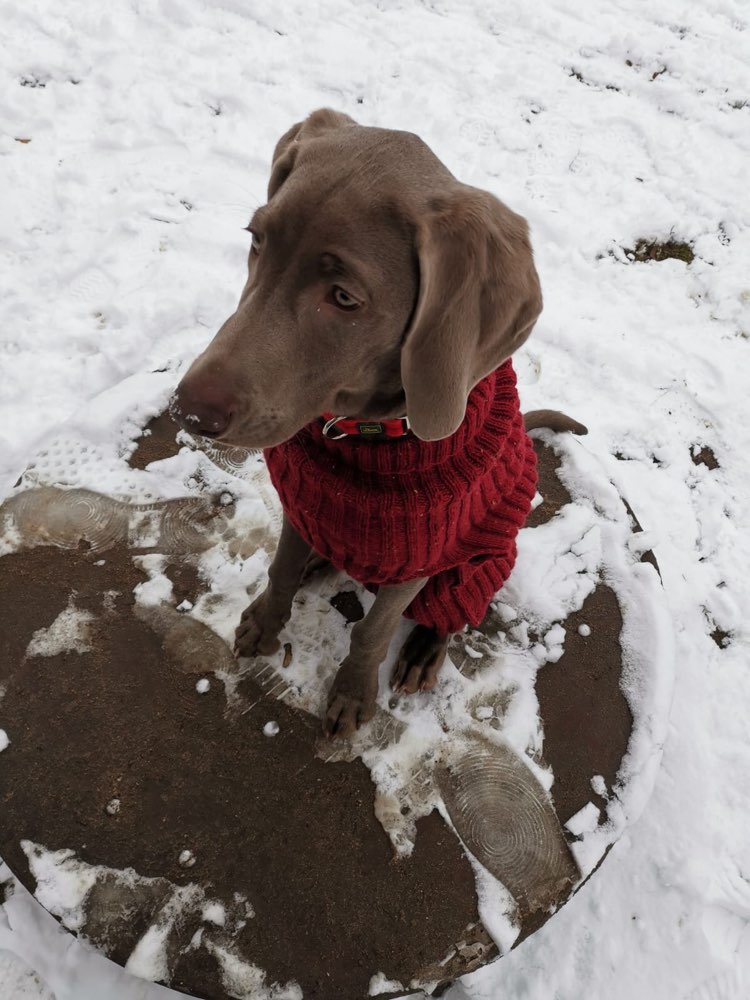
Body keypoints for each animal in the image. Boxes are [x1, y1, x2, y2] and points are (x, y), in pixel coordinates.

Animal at [172, 111, 588, 744]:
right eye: (256, 240)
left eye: (344, 297)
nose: (188, 412)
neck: (365, 438)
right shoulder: (302, 503)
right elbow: (281, 566)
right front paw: (265, 623)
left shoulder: (423, 556)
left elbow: (375, 628)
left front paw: (351, 693)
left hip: (483, 559)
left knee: (450, 611)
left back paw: (423, 651)